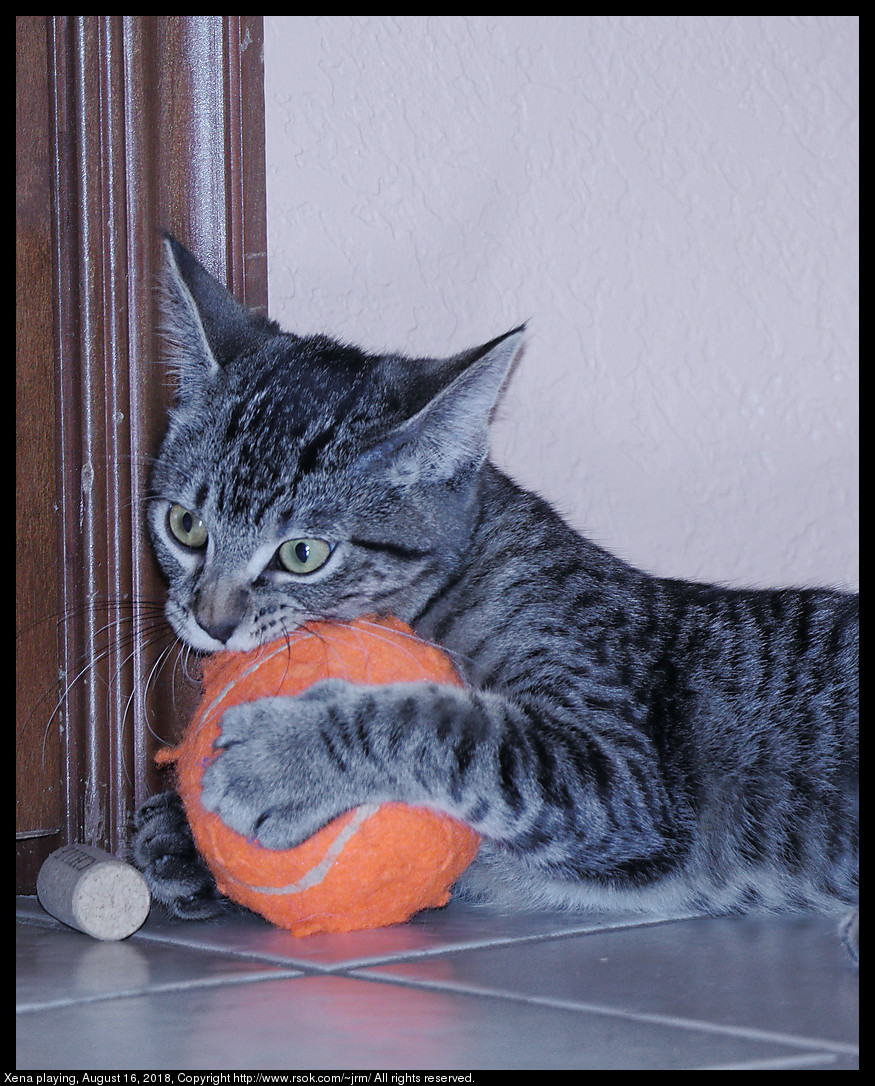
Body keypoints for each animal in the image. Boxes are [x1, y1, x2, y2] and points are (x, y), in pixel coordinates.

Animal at [131, 240, 864, 960]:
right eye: (185, 526)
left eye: (302, 554)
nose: (211, 620)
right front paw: (176, 836)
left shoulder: (622, 775)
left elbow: (456, 726)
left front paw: (284, 759)